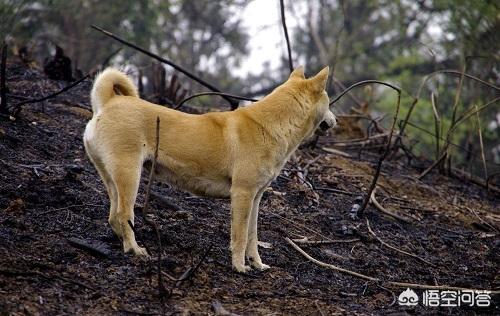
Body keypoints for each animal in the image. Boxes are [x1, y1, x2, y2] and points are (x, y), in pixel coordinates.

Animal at [84, 66, 336, 272]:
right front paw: (239, 267)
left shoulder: (255, 198)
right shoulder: (242, 194)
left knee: (113, 217)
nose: (335, 121)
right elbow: (240, 237)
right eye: (330, 101)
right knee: (124, 214)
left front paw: (257, 264)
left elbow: (252, 236)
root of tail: (107, 103)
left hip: (113, 179)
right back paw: (134, 250)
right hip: (129, 175)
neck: (269, 126)